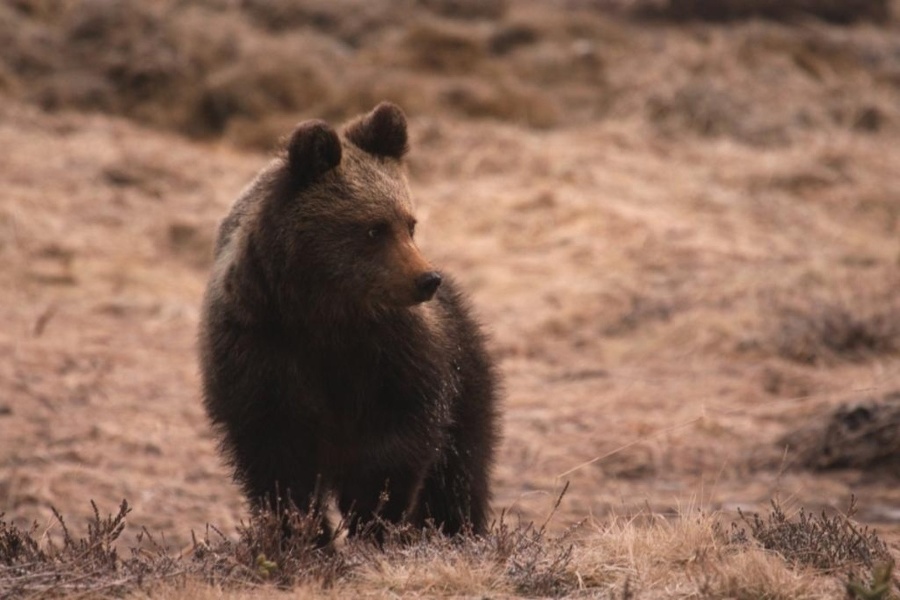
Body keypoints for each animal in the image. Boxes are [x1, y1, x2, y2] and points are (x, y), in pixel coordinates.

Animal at [196, 101, 500, 540]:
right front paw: (305, 533)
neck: (324, 312)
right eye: (374, 228)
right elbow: (278, 462)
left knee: (459, 473)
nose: (427, 279)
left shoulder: (390, 354)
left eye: (410, 223)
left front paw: (372, 517)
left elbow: (399, 445)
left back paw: (455, 528)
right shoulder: (260, 353)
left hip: (467, 373)